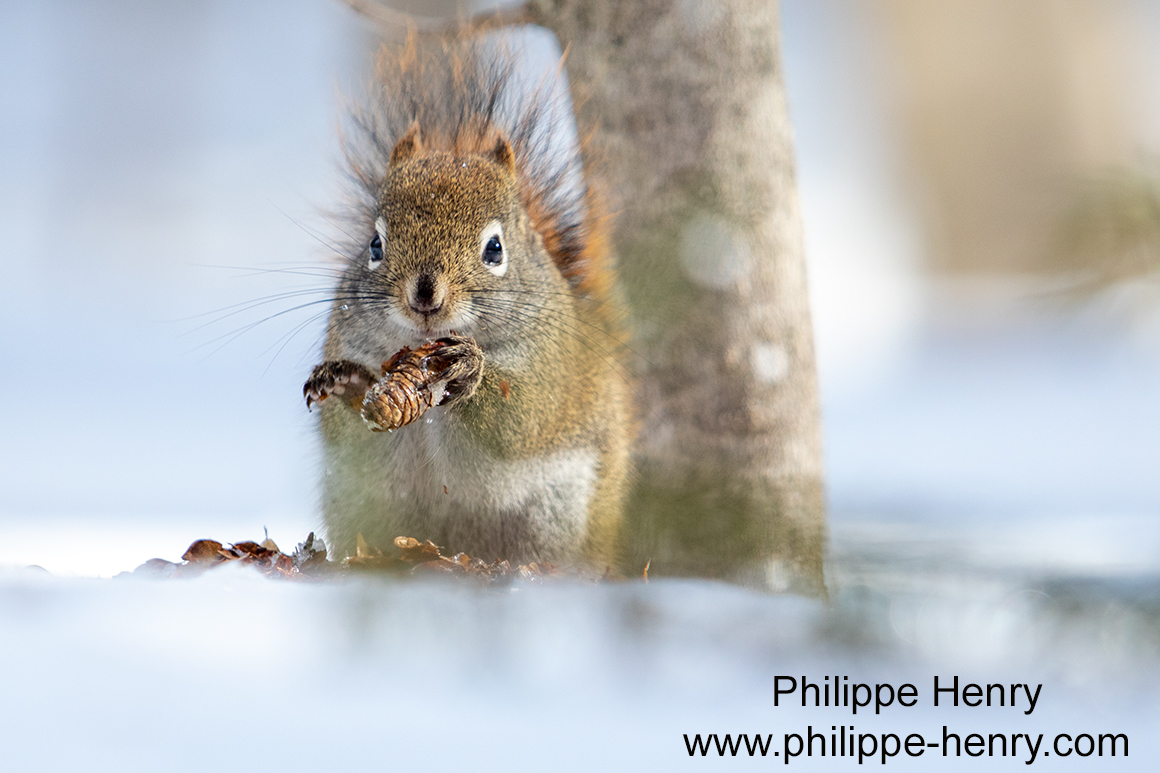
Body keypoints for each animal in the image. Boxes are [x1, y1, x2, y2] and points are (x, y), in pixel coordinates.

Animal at [302, 36, 632, 569]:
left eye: (495, 249)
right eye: (374, 245)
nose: (424, 297)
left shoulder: (553, 367)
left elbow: (519, 419)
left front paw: (469, 370)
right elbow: (348, 430)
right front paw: (344, 379)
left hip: (560, 510)